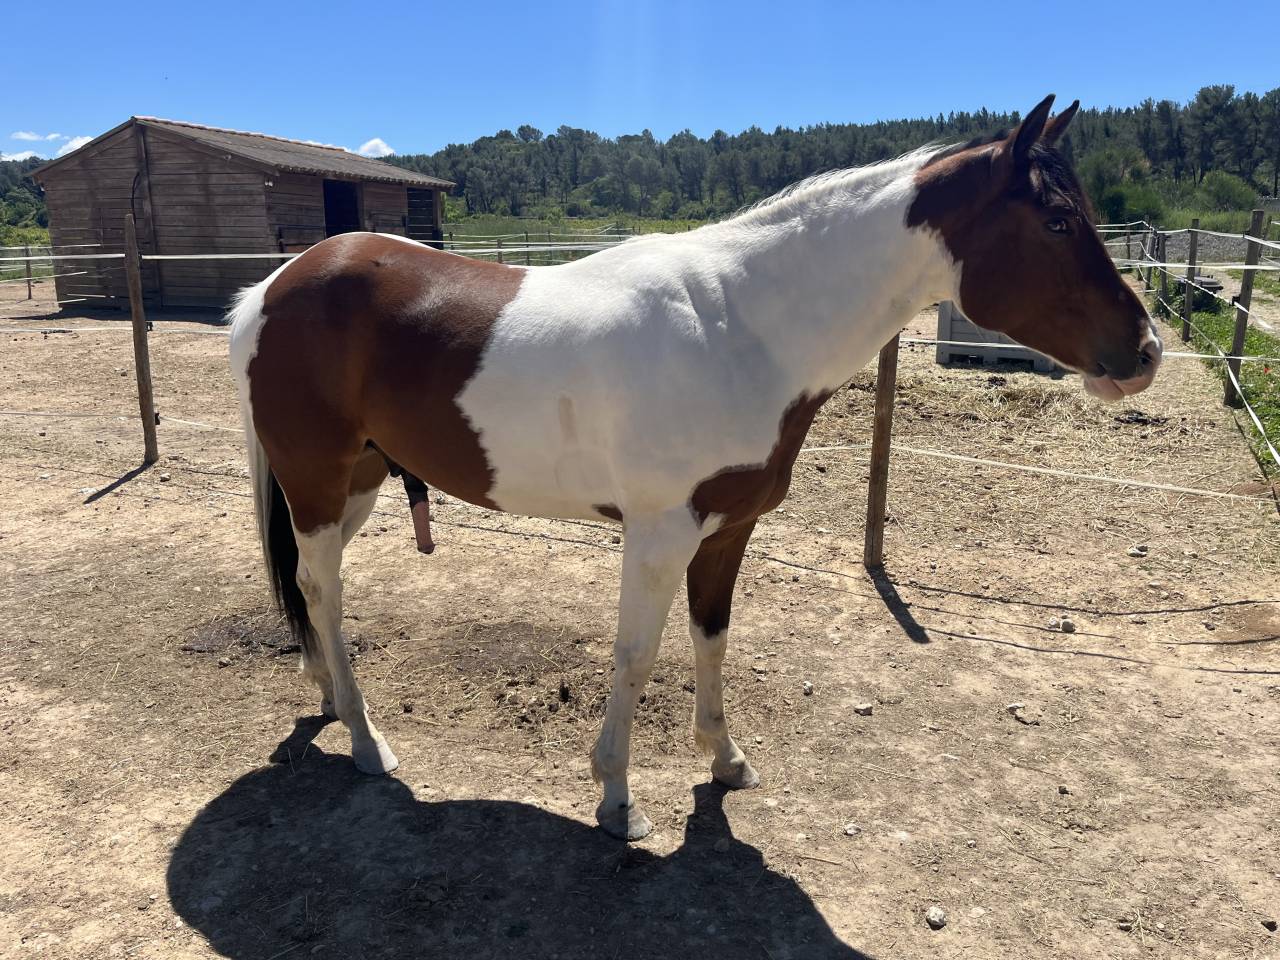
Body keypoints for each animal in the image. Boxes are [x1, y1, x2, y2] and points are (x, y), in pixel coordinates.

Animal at [228, 95, 1161, 840]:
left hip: (358, 482)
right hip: (318, 481)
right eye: (1057, 222)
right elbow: (637, 655)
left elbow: (712, 637)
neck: (738, 325)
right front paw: (618, 800)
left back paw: (328, 695)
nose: (1146, 350)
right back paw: (365, 739)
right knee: (324, 591)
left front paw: (726, 759)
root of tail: (273, 287)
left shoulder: (726, 530)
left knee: (312, 586)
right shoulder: (659, 536)